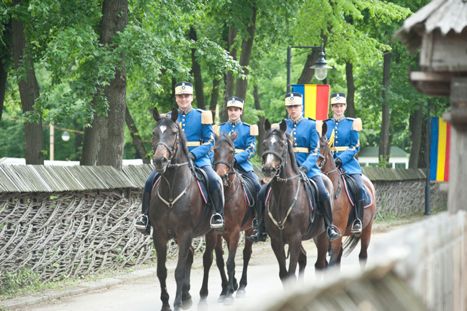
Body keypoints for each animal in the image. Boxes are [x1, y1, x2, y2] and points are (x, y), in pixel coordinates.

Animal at [149, 108, 213, 311]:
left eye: (173, 133)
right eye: (154, 133)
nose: (159, 160)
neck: (171, 190)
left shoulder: (184, 233)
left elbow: (178, 270)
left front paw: (176, 303)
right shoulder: (160, 235)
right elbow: (162, 271)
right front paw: (166, 303)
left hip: (213, 232)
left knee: (207, 260)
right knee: (190, 257)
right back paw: (187, 295)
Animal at [199, 133, 254, 302]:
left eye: (231, 151)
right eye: (214, 150)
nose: (221, 175)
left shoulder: (235, 231)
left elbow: (230, 261)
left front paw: (229, 293)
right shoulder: (214, 232)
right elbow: (217, 260)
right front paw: (224, 290)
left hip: (249, 229)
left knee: (246, 254)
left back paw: (241, 286)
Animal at [262, 120, 330, 282]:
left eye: (281, 144)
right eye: (264, 143)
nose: (268, 169)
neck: (282, 196)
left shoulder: (295, 239)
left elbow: (291, 273)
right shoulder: (276, 241)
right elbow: (284, 275)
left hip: (323, 235)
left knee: (321, 264)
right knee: (305, 259)